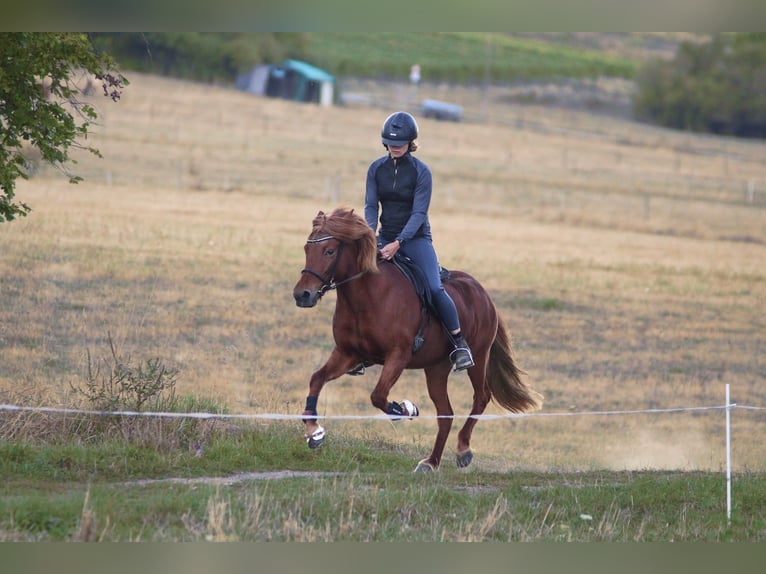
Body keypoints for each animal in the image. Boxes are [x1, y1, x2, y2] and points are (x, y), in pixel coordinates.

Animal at [292, 207, 542, 472]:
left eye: (329, 251)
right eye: (307, 249)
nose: (302, 295)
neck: (368, 296)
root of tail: (484, 295)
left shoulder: (398, 355)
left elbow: (378, 395)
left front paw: (405, 408)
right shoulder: (348, 353)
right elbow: (317, 379)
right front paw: (314, 433)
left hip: (479, 355)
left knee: (481, 397)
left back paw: (463, 450)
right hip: (436, 368)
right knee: (446, 413)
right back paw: (431, 462)